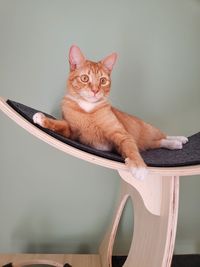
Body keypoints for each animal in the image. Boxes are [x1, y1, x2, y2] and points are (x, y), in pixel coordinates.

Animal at [32, 45, 188, 180]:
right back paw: (175, 144)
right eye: (85, 78)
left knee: (163, 136)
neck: (88, 109)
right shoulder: (72, 132)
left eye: (103, 81)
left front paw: (139, 167)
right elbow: (59, 125)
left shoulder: (122, 135)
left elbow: (132, 150)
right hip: (148, 141)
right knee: (157, 142)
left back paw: (180, 138)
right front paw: (42, 118)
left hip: (149, 130)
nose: (95, 90)